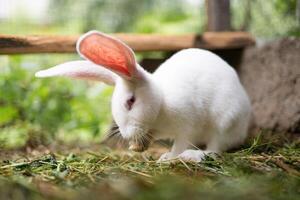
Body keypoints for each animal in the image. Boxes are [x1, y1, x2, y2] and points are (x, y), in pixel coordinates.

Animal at [34, 31, 251, 162]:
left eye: (130, 102)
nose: (127, 135)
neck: (161, 105)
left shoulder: (187, 127)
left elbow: (180, 143)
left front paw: (169, 157)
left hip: (225, 119)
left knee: (217, 147)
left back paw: (195, 155)